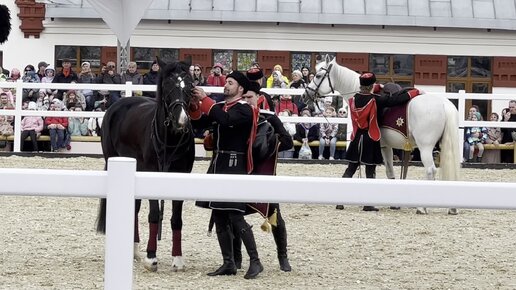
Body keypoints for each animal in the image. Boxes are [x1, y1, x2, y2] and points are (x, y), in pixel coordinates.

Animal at [95, 58, 195, 272]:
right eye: (167, 85)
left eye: (190, 86)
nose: (182, 120)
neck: (170, 140)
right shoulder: (151, 172)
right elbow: (155, 214)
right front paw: (151, 257)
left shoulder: (181, 175)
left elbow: (176, 219)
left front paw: (177, 259)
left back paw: (134, 249)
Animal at [302, 56, 460, 215]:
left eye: (318, 76)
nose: (305, 95)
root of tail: (444, 104)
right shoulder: (385, 147)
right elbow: (387, 171)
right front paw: (392, 204)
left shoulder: (380, 147)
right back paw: (451, 208)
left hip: (425, 148)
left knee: (430, 170)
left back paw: (422, 207)